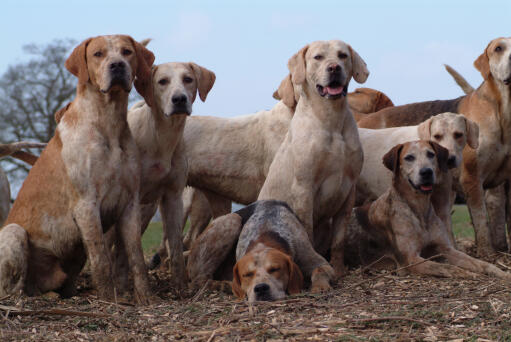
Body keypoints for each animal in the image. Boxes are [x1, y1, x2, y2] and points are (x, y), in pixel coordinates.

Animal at [0, 34, 156, 304]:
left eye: (127, 52)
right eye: (98, 54)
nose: (117, 65)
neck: (108, 123)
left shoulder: (130, 204)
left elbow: (136, 258)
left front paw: (145, 298)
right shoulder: (86, 206)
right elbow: (101, 260)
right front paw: (109, 300)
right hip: (14, 232)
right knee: (14, 288)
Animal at [188, 200, 336, 302]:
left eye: (275, 269)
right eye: (247, 275)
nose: (261, 289)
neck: (265, 234)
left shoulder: (320, 262)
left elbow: (319, 270)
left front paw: (320, 286)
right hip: (232, 220)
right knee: (199, 280)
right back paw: (224, 285)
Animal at [346, 140, 511, 282]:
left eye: (431, 154)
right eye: (409, 157)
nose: (426, 172)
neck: (419, 208)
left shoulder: (446, 248)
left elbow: (480, 263)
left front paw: (501, 272)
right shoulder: (411, 259)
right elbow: (446, 267)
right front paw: (468, 274)